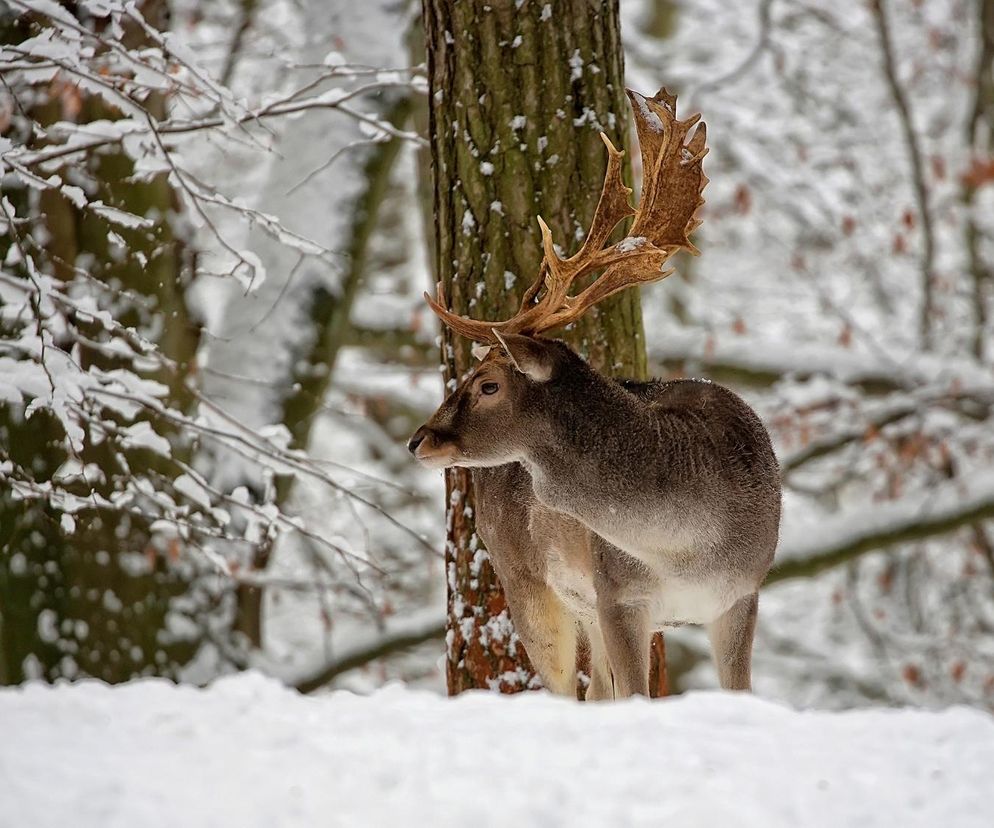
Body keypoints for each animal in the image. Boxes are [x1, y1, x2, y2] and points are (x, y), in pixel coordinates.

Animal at [406, 89, 780, 700]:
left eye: (488, 384)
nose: (420, 439)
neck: (689, 547)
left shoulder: (743, 592)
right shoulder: (619, 591)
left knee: (593, 693)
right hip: (528, 581)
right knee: (566, 689)